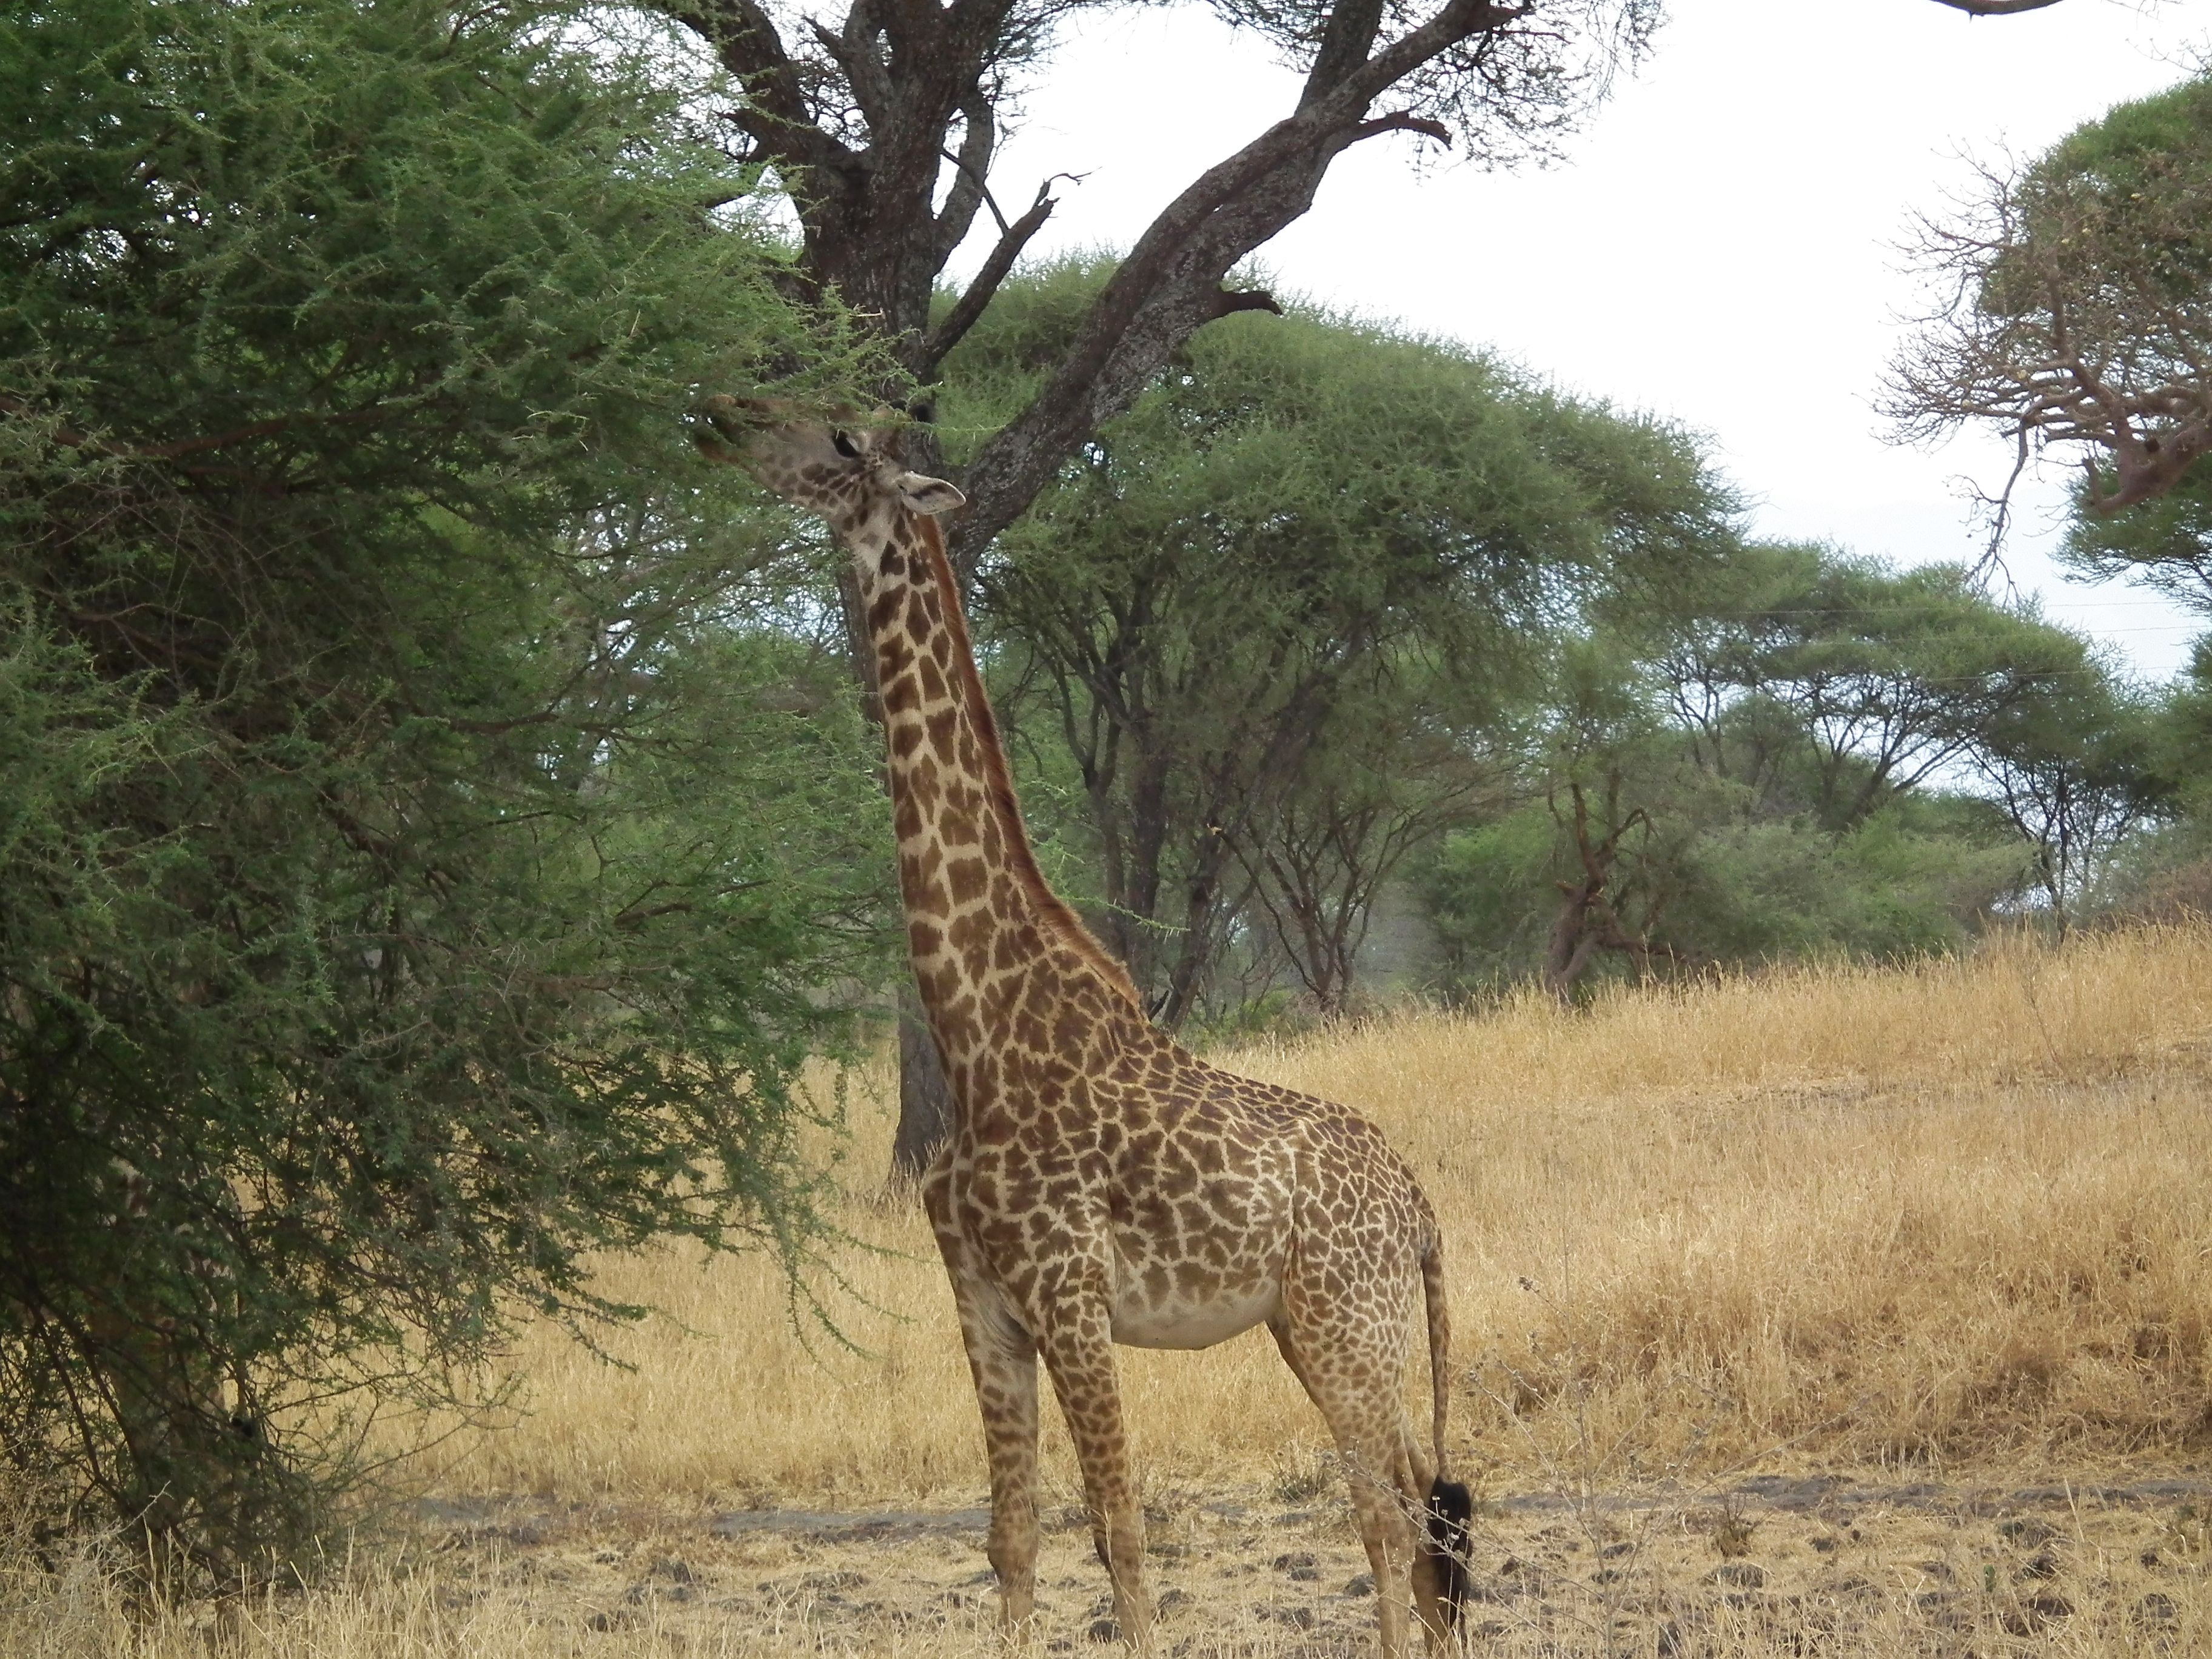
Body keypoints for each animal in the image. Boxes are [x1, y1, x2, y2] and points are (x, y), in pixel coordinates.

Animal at [696, 397, 1473, 1656]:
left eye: (842, 442)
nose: (715, 415)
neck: (978, 1032)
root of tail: (1416, 1203)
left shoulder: (1068, 1296)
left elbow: (1119, 1531)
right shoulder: (981, 1298)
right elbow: (1011, 1537)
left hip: (1347, 1320)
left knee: (1390, 1511)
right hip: (1315, 1325)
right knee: (1421, 1509)